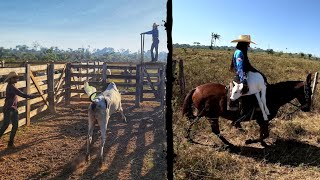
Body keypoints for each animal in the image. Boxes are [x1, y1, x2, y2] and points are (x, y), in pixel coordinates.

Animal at [182, 73, 312, 149]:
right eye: (308, 92)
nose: (307, 108)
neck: (272, 95)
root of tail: (196, 88)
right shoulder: (263, 119)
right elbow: (265, 134)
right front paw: (249, 141)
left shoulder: (262, 121)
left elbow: (263, 133)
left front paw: (262, 143)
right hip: (211, 115)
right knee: (215, 131)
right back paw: (229, 144)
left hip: (202, 114)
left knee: (192, 123)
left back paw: (189, 138)